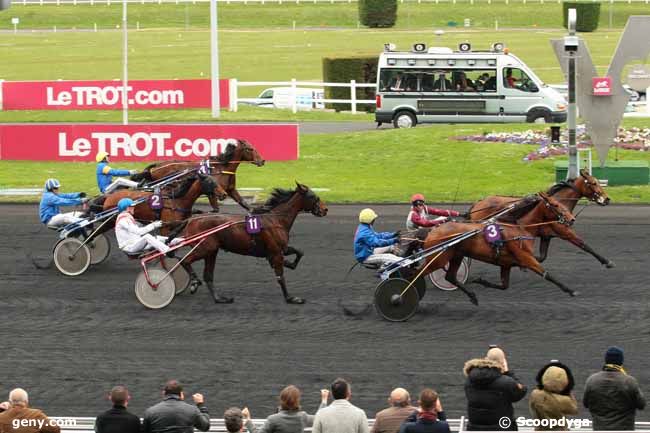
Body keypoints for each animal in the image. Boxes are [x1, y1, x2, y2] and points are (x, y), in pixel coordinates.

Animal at [130, 138, 264, 211]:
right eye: (250, 149)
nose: (262, 161)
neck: (222, 167)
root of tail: (156, 166)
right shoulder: (212, 191)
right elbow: (215, 209)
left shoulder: (230, 190)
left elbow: (245, 204)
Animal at [171, 182, 326, 304]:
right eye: (313, 197)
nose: (325, 209)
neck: (276, 220)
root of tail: (191, 219)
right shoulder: (276, 251)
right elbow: (280, 276)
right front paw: (290, 298)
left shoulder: (281, 248)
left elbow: (299, 252)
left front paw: (289, 263)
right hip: (205, 248)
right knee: (185, 260)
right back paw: (194, 282)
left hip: (212, 251)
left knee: (208, 275)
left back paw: (219, 298)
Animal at [412, 192, 612, 304]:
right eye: (555, 205)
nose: (571, 219)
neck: (520, 227)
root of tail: (432, 232)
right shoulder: (526, 256)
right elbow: (546, 273)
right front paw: (570, 290)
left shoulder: (506, 263)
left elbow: (504, 285)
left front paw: (480, 281)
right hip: (439, 259)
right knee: (418, 273)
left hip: (455, 256)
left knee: (450, 277)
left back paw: (473, 296)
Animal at [466, 169, 608, 262]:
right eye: (594, 183)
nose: (607, 199)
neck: (556, 203)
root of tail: (478, 203)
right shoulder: (565, 231)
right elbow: (584, 244)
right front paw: (607, 262)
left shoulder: (547, 236)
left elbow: (542, 257)